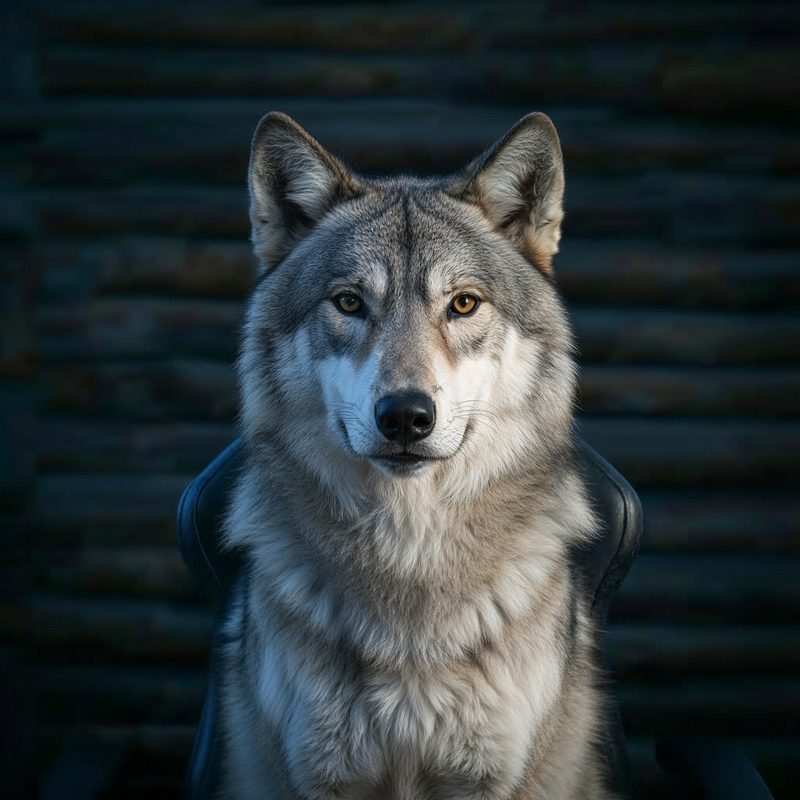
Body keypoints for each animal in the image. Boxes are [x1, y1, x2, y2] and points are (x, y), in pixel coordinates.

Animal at [219, 110, 617, 799]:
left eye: (463, 303)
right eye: (350, 302)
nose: (405, 415)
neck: (412, 555)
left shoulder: (486, 777)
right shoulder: (319, 773)